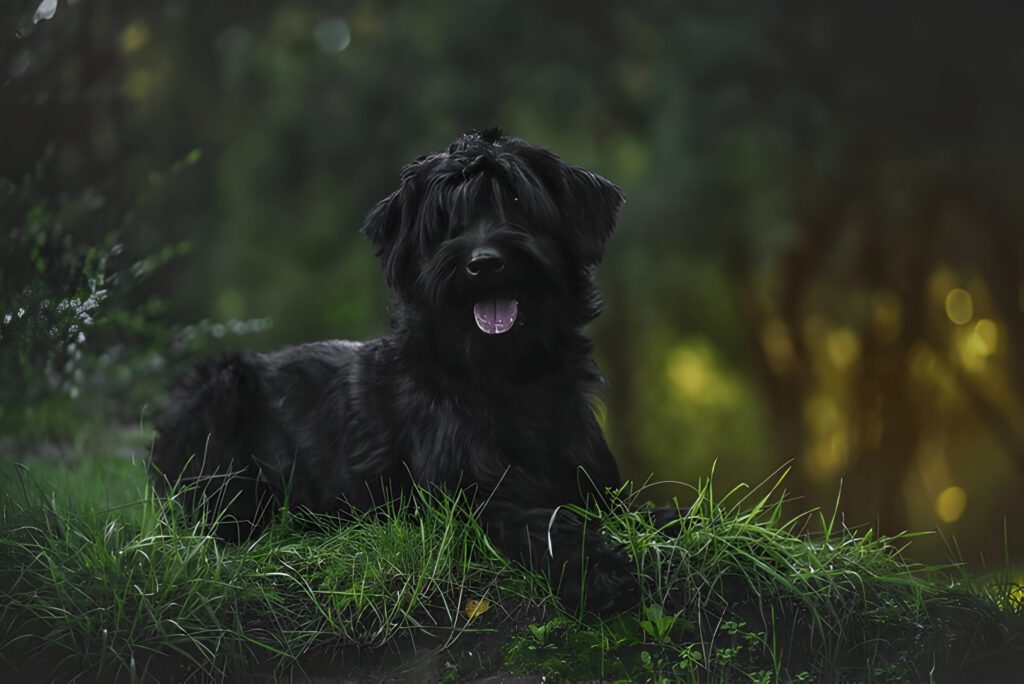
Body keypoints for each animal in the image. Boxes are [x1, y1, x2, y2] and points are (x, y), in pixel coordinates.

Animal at [150, 129, 634, 614]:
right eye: (445, 217)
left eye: (516, 198)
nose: (483, 263)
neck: (504, 377)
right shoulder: (463, 504)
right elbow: (537, 522)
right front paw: (595, 569)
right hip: (217, 389)